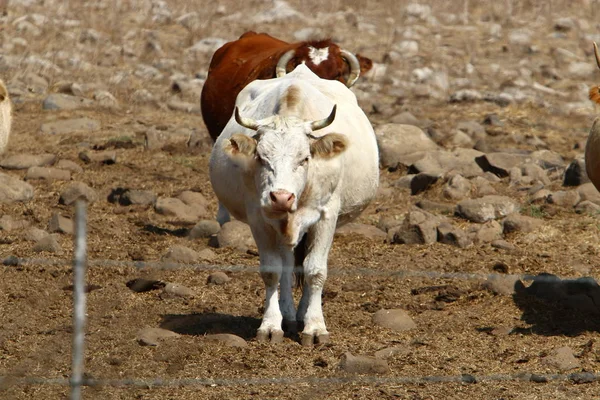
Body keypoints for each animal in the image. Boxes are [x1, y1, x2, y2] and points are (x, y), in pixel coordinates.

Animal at [210, 64, 380, 346]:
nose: (281, 197)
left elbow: (315, 271)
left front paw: (315, 327)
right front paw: (271, 325)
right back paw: (288, 315)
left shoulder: (326, 217)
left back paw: (301, 314)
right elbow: (272, 271)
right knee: (288, 265)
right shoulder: (259, 217)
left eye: (305, 158)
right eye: (261, 157)